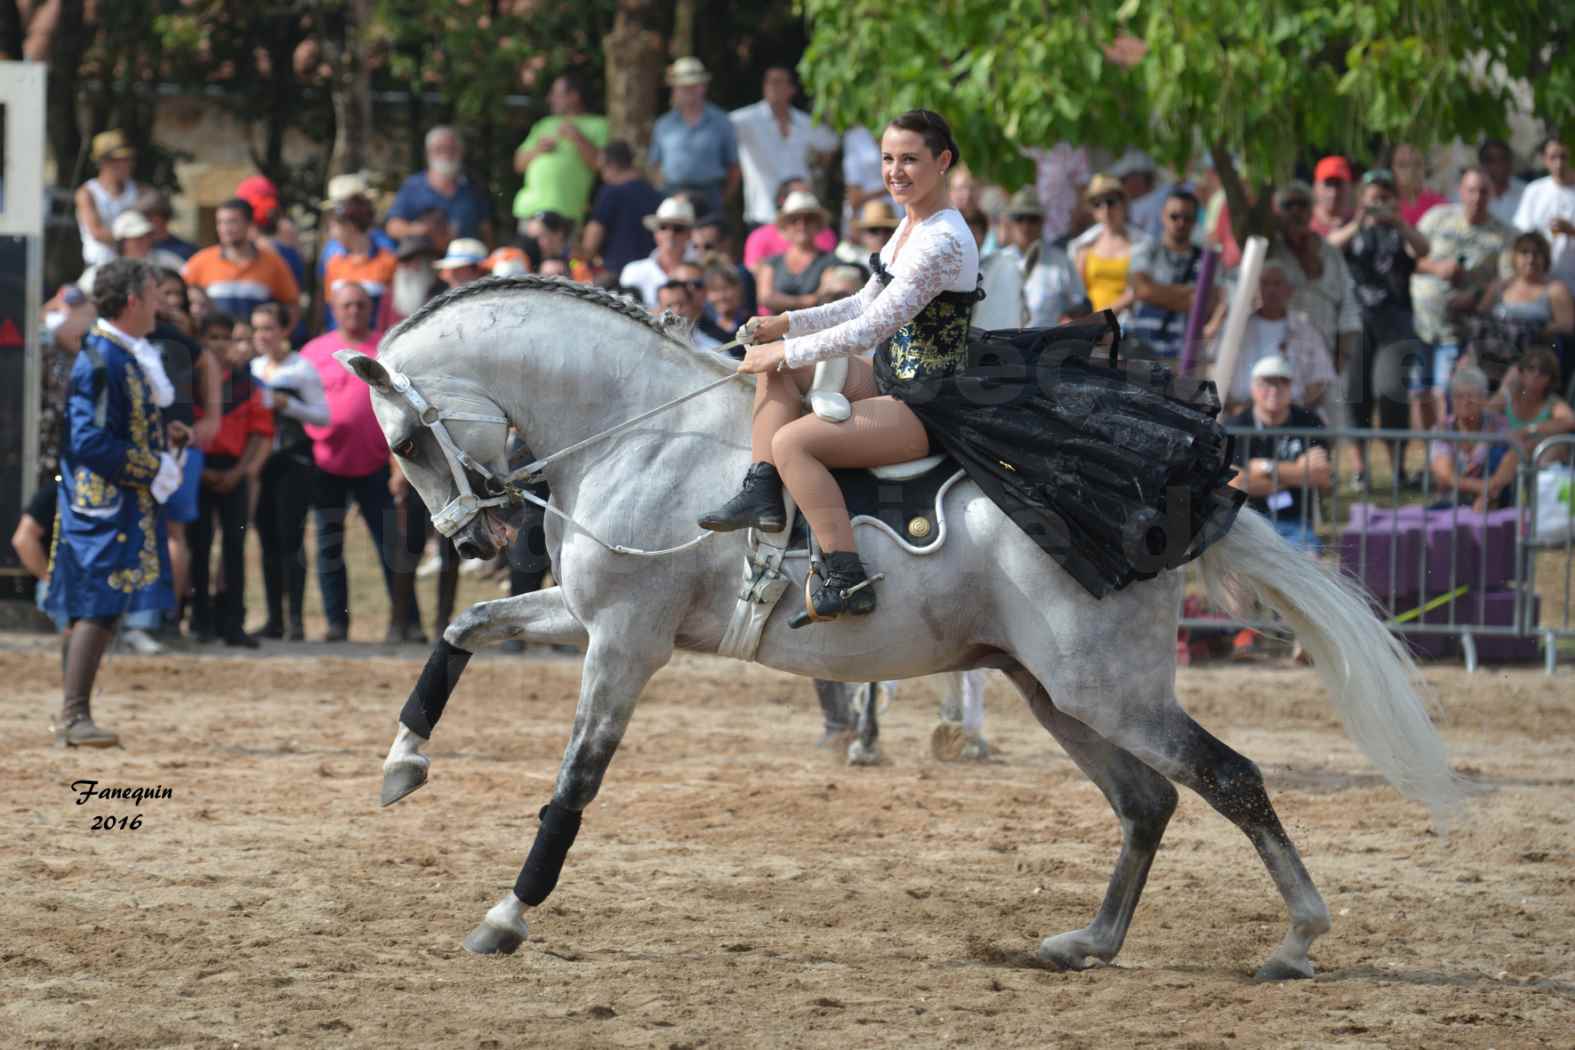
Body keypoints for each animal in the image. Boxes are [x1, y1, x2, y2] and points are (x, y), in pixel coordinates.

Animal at [341, 275, 1461, 982]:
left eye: (401, 442)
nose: (471, 534)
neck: (642, 433)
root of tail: (1167, 509)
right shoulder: (578, 614)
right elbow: (463, 631)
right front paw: (401, 765)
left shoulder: (623, 644)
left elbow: (572, 787)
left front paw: (506, 916)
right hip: (1052, 691)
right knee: (1147, 802)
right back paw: (1088, 943)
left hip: (1106, 690)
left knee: (1229, 777)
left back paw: (1297, 942)